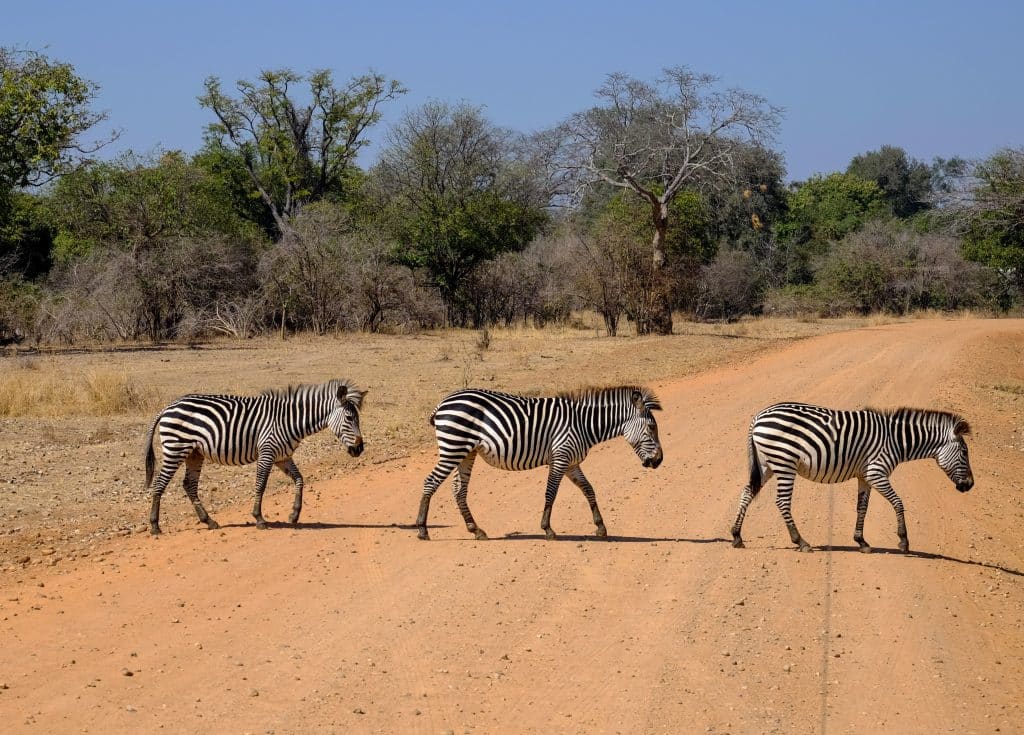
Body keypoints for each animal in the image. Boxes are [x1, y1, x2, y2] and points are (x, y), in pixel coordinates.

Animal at [144, 379, 365, 535]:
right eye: (349, 418)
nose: (360, 449)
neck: (290, 421)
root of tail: (169, 406)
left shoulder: (283, 457)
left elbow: (300, 480)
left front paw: (294, 515)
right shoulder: (267, 453)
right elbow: (260, 485)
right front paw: (259, 519)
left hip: (194, 453)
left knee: (189, 485)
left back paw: (209, 521)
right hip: (176, 448)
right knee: (160, 484)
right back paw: (155, 526)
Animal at [416, 386, 664, 541]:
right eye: (652, 427)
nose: (659, 461)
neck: (583, 425)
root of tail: (443, 402)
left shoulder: (572, 463)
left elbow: (589, 490)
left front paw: (600, 527)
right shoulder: (561, 457)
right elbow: (550, 493)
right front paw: (548, 529)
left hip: (466, 452)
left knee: (458, 489)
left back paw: (476, 530)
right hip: (453, 446)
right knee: (430, 482)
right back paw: (422, 530)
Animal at [730, 402, 974, 553]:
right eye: (964, 452)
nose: (970, 486)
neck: (896, 440)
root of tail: (759, 416)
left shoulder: (865, 476)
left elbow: (862, 507)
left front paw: (861, 541)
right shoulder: (877, 472)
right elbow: (898, 502)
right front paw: (904, 541)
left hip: (767, 463)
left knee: (747, 492)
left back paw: (737, 536)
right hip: (784, 462)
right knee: (782, 502)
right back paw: (801, 541)